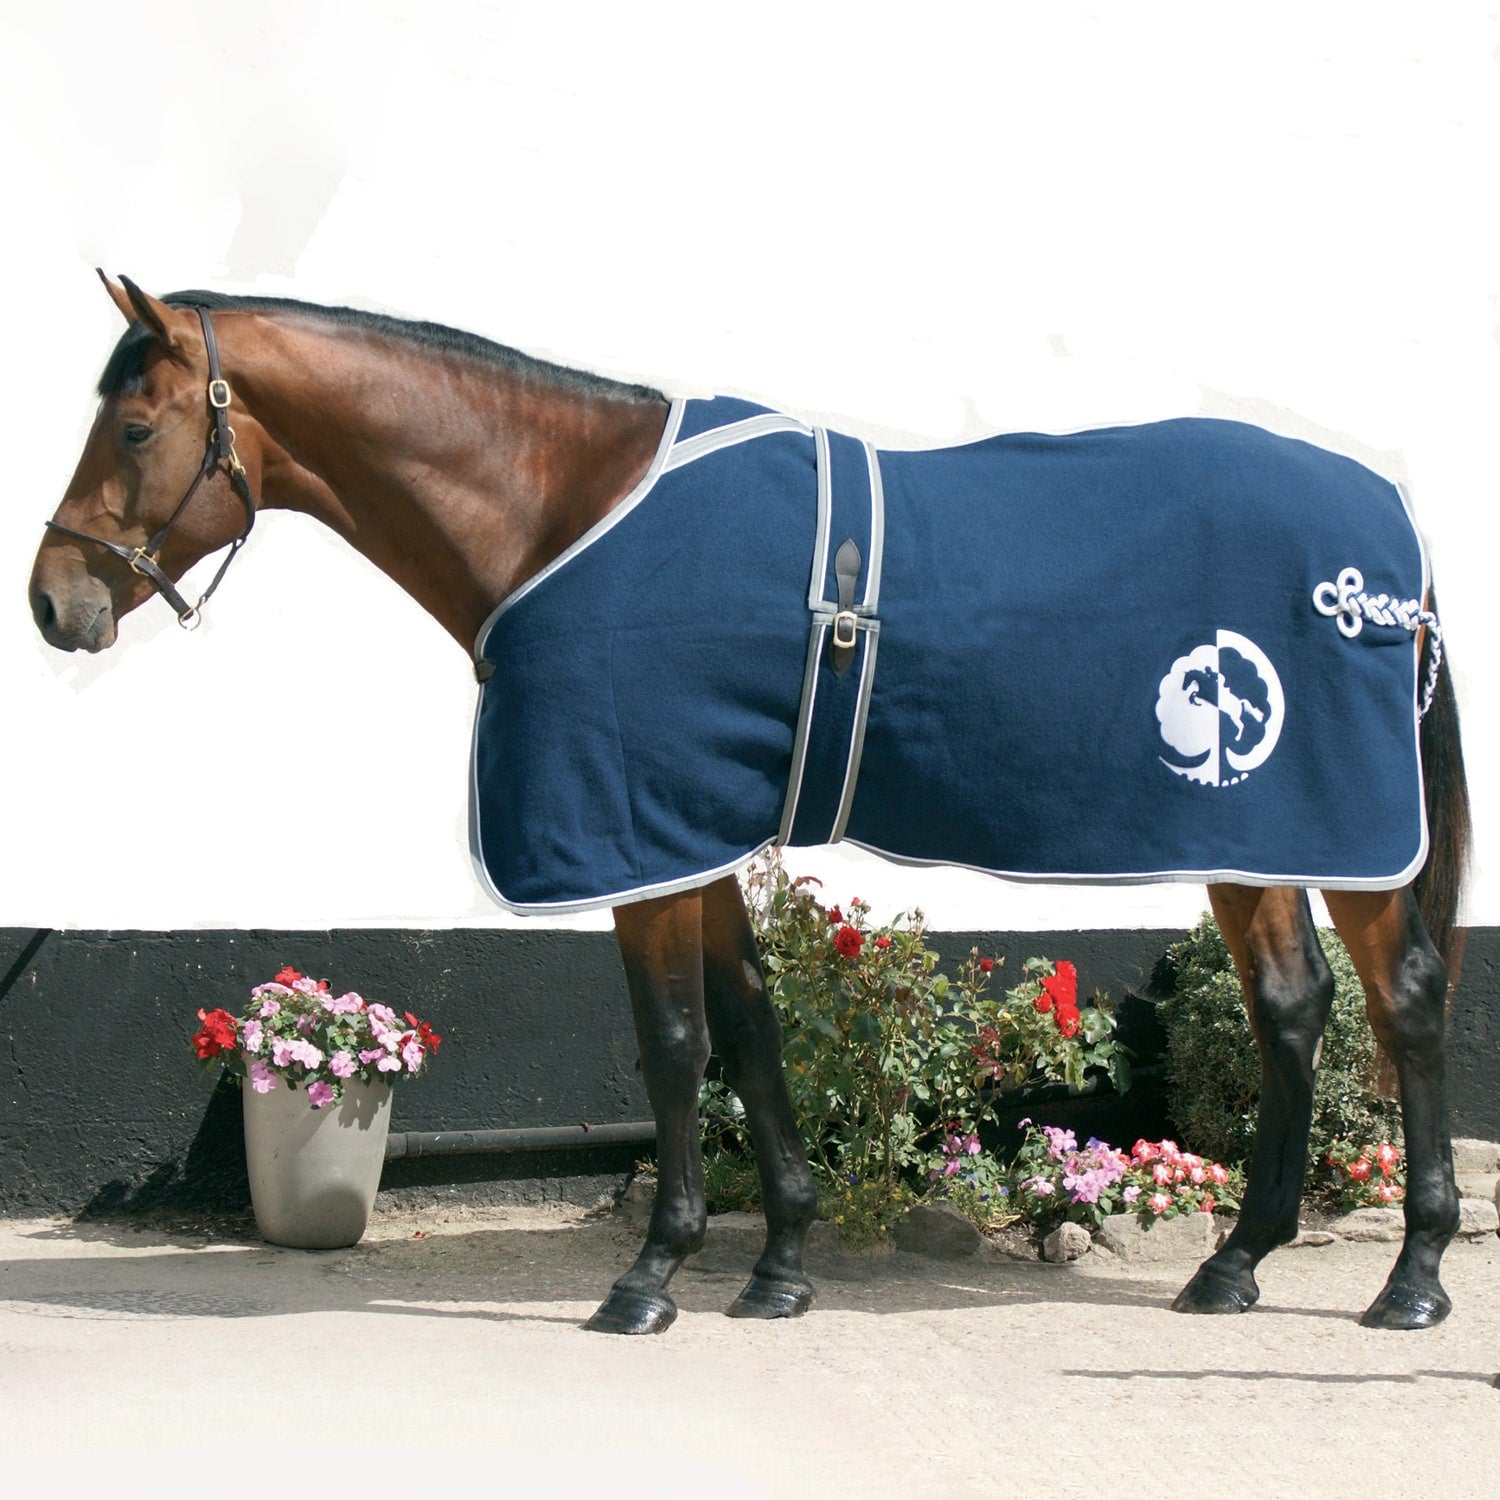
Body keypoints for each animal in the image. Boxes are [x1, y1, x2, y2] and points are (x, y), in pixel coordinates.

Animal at [30, 273, 1471, 1336]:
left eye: (136, 428)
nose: (54, 600)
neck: (562, 511)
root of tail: (1392, 551)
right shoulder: (691, 831)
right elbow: (750, 1024)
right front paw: (779, 1262)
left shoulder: (639, 840)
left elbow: (675, 1044)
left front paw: (651, 1279)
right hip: (1255, 836)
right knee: (1294, 1009)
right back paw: (1237, 1264)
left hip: (1324, 831)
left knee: (1399, 1008)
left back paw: (1412, 1280)